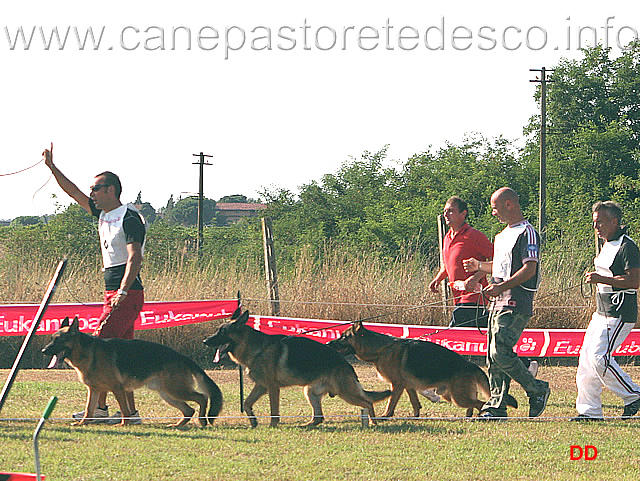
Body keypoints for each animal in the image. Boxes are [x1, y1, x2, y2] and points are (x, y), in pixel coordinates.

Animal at [42, 316, 222, 426]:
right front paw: (83, 423)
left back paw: (202, 420)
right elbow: (89, 409)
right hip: (168, 394)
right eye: (51, 339)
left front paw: (124, 424)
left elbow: (124, 410)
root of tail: (182, 356)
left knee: (202, 397)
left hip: (176, 390)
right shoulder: (93, 390)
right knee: (189, 409)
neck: (89, 352)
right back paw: (177, 425)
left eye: (59, 340)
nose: (43, 351)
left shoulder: (118, 388)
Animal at [202, 306, 390, 426]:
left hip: (346, 392)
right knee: (319, 417)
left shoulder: (272, 387)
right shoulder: (261, 386)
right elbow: (247, 402)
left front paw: (273, 425)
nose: (205, 341)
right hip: (309, 391)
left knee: (368, 402)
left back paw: (373, 422)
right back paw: (306, 425)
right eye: (218, 330)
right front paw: (253, 420)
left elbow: (274, 410)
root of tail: (346, 364)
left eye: (223, 332)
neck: (257, 348)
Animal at [328, 322, 516, 416]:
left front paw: (386, 416)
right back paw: (470, 415)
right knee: (475, 402)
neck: (381, 349)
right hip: (450, 395)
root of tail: (470, 364)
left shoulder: (397, 385)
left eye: (343, 337)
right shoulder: (408, 386)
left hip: (457, 397)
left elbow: (391, 403)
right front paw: (416, 415)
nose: (329, 343)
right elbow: (415, 403)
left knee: (480, 403)